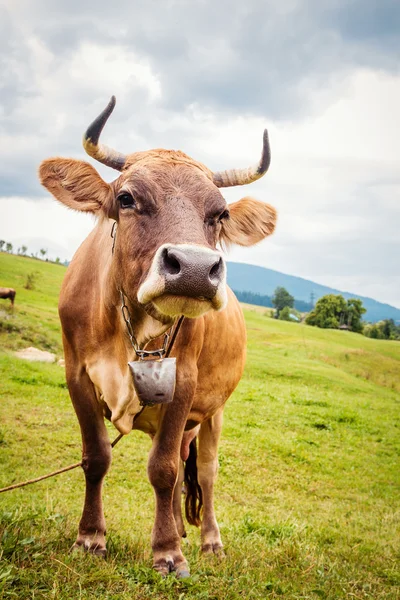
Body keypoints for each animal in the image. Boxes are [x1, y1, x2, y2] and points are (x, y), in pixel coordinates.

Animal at [39, 96, 278, 580]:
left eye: (220, 214)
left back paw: (207, 541)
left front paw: (167, 551)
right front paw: (90, 537)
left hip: (212, 413)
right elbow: (96, 457)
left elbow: (164, 469)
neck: (129, 327)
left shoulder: (182, 383)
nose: (194, 268)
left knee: (203, 471)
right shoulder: (77, 375)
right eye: (127, 198)